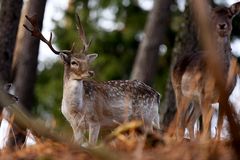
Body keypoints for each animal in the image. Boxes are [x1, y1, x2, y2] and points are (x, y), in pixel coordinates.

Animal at [23, 14, 161, 144]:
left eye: (86, 60)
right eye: (73, 62)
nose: (90, 72)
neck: (76, 109)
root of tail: (157, 94)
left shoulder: (96, 120)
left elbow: (92, 144)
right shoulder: (75, 125)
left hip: (146, 116)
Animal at [171, 2, 240, 140]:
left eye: (229, 15)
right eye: (213, 16)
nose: (222, 25)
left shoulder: (226, 95)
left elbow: (219, 124)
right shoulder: (204, 93)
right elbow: (207, 126)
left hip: (195, 100)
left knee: (189, 122)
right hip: (179, 92)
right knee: (181, 123)